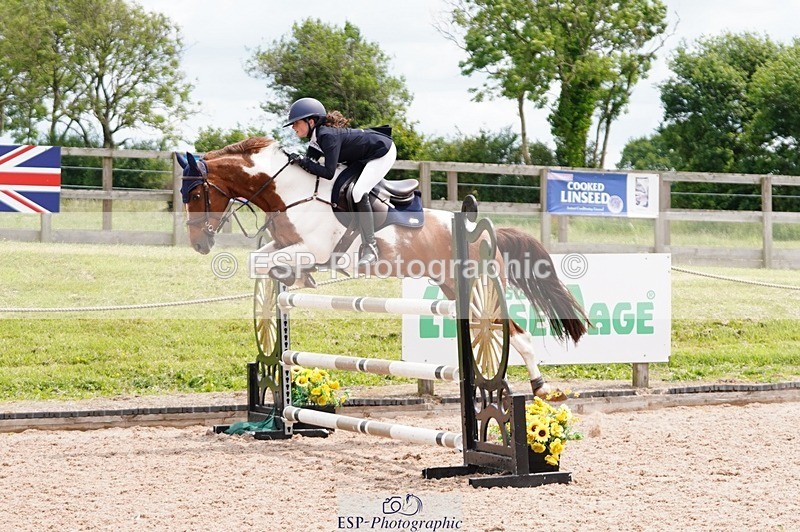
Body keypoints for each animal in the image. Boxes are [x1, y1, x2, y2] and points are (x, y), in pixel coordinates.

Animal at [177, 137, 588, 400]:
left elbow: (266, 261)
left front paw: (294, 277)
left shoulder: (312, 249)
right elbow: (259, 260)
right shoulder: (285, 246)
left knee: (515, 335)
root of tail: (488, 233)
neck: (291, 193)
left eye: (196, 193)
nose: (198, 243)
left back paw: (543, 389)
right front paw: (286, 286)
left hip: (477, 291)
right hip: (454, 289)